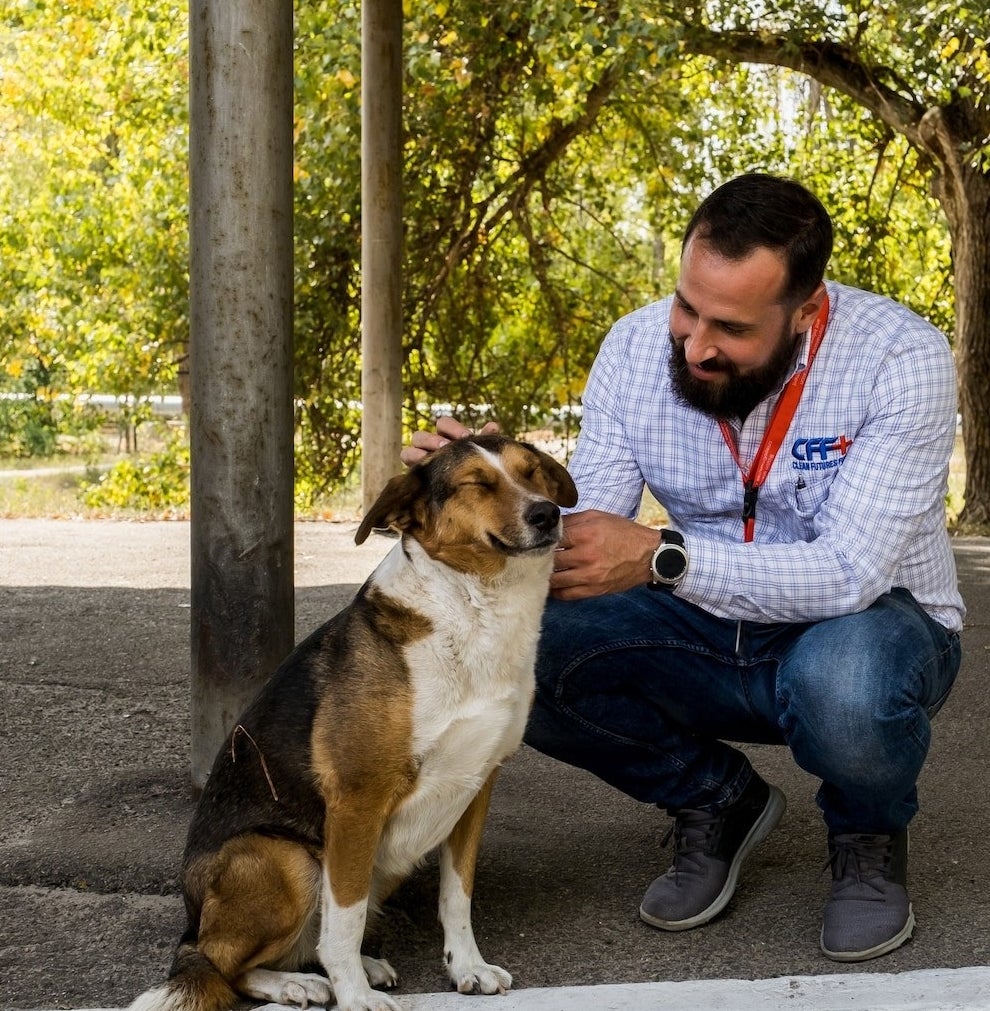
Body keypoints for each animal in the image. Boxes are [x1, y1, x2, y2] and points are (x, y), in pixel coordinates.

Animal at [131, 434, 582, 1011]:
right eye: (476, 484)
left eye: (533, 473)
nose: (546, 514)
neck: (473, 610)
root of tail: (191, 926)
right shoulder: (357, 798)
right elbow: (344, 920)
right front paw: (354, 995)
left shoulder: (476, 787)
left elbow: (456, 896)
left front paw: (467, 967)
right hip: (289, 859)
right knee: (221, 965)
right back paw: (301, 982)